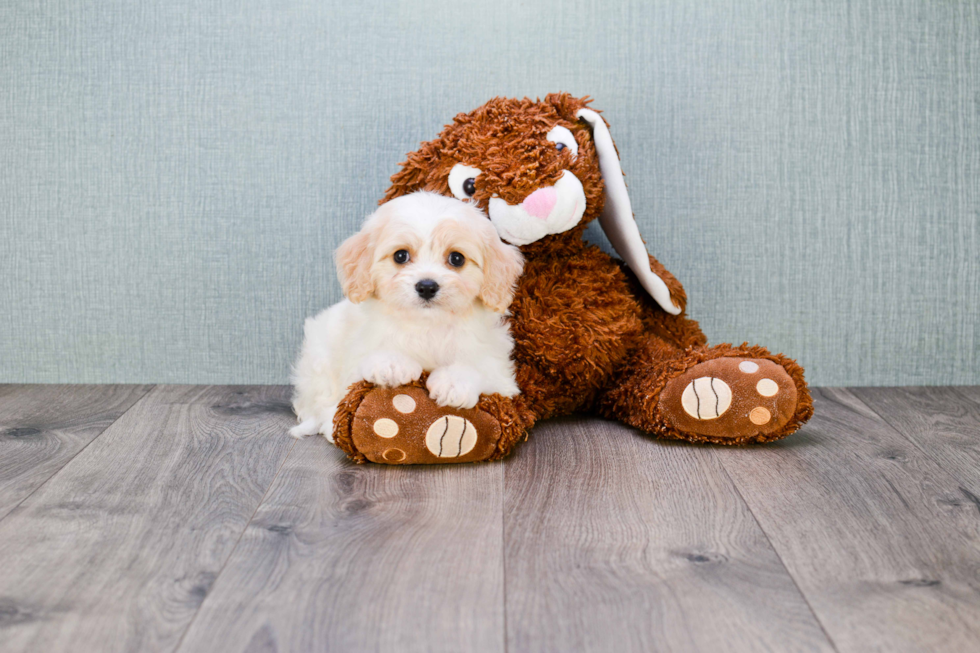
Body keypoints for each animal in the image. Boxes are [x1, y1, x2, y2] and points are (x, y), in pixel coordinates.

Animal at [290, 191, 524, 440]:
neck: (427, 325)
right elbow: (367, 362)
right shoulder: (357, 354)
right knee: (320, 404)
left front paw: (454, 383)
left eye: (457, 258)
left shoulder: (500, 373)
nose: (427, 286)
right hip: (319, 359)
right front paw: (392, 364)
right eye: (400, 256)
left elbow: (481, 367)